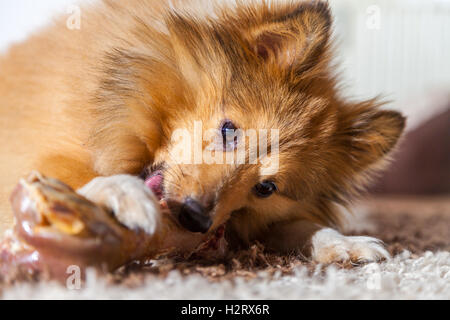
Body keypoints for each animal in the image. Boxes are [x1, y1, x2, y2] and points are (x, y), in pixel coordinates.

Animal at [0, 0, 406, 264]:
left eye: (266, 188)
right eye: (228, 131)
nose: (194, 218)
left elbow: (301, 225)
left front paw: (345, 243)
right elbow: (78, 173)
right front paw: (125, 194)